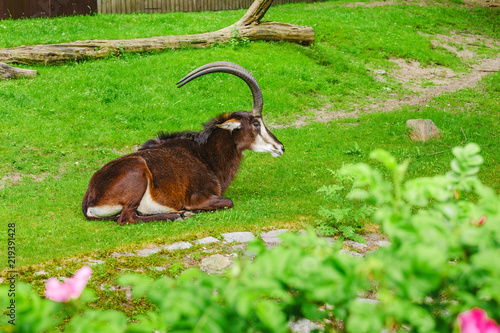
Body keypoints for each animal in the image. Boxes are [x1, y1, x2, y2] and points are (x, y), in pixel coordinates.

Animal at [82, 61, 286, 224]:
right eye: (256, 123)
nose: (280, 147)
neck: (204, 155)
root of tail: (89, 201)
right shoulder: (199, 197)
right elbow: (228, 201)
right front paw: (189, 210)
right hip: (137, 174)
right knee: (127, 218)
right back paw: (179, 215)